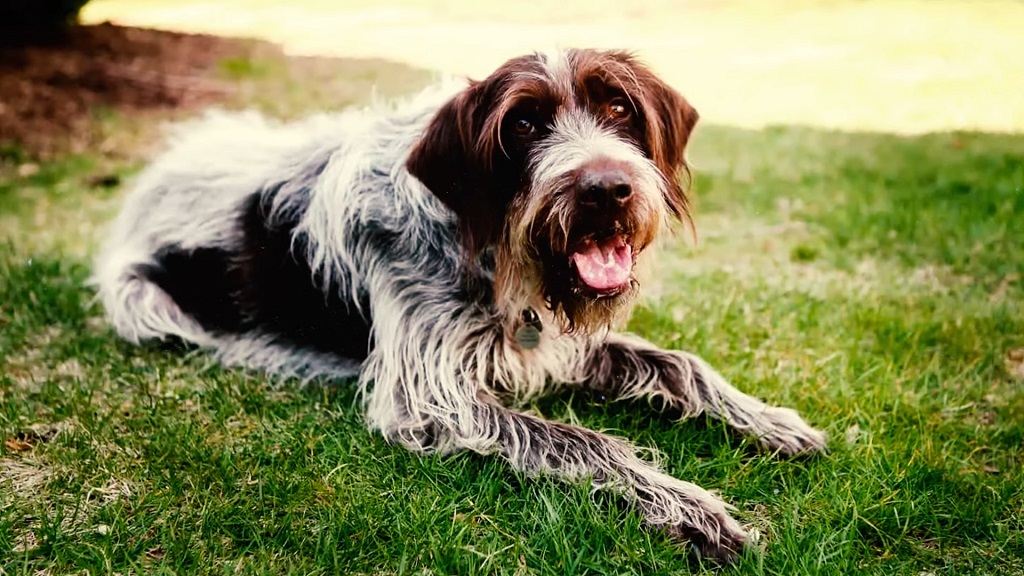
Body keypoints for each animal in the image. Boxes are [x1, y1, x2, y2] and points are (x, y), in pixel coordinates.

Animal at [92, 47, 827, 557]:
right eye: (523, 122)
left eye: (619, 109)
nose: (606, 189)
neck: (496, 258)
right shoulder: (430, 393)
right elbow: (582, 442)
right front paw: (689, 507)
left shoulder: (552, 345)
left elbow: (679, 364)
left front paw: (770, 421)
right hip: (145, 303)